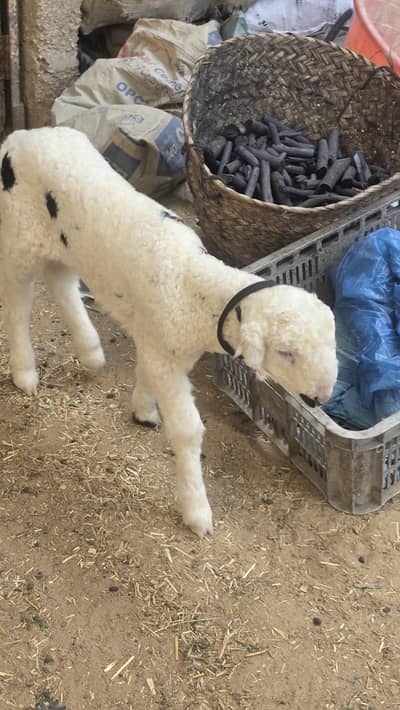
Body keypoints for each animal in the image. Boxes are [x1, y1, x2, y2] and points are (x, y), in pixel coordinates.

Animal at [0, 126, 338, 537]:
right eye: (286, 353)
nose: (320, 398)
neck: (193, 285)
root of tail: (22, 136)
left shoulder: (159, 343)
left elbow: (145, 371)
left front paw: (143, 409)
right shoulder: (166, 357)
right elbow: (188, 431)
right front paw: (197, 511)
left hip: (62, 242)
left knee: (61, 282)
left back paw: (91, 352)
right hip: (19, 235)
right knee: (17, 302)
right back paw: (25, 372)